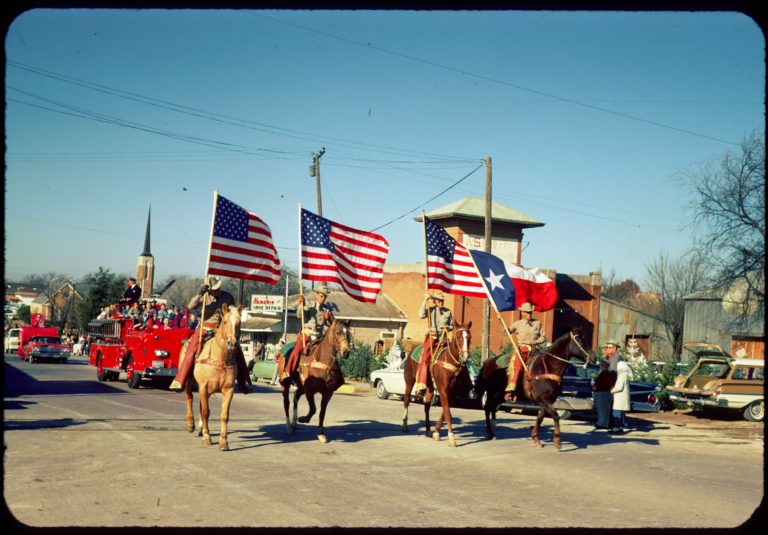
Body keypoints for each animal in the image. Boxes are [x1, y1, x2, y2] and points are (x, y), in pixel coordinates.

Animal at [180, 306, 240, 452]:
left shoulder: (229, 389)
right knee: (189, 398)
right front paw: (207, 437)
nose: (232, 343)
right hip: (189, 382)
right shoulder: (203, 386)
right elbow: (206, 412)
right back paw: (191, 424)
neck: (220, 358)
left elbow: (224, 415)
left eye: (239, 322)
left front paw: (223, 442)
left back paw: (201, 429)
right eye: (225, 321)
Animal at [280, 312, 352, 442]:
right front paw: (304, 419)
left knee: (295, 397)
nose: (346, 352)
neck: (321, 360)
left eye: (348, 333)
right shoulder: (310, 390)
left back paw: (294, 423)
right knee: (286, 403)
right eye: (338, 332)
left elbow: (322, 412)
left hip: (301, 386)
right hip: (285, 384)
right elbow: (313, 408)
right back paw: (288, 427)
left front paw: (320, 433)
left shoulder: (327, 393)